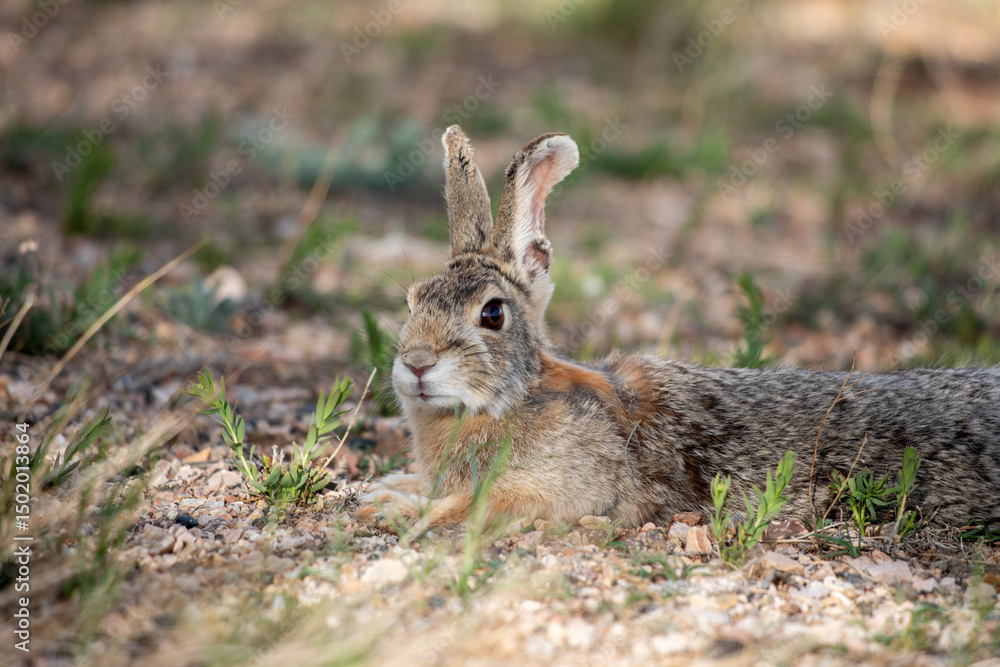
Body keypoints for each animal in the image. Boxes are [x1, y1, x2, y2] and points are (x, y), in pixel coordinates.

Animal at [354, 125, 1000, 530]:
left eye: (492, 314)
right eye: (412, 301)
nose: (416, 364)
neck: (513, 400)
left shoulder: (564, 487)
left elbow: (471, 506)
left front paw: (390, 512)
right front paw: (385, 492)